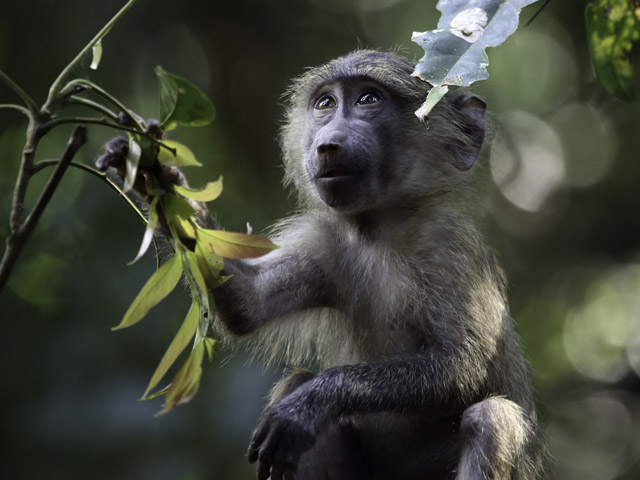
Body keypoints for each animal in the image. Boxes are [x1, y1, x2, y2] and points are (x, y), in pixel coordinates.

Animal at [97, 49, 547, 479]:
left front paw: (312, 403)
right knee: (298, 391)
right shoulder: (325, 245)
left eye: (369, 99)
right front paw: (151, 174)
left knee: (491, 418)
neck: (378, 230)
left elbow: (462, 366)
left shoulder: (448, 245)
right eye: (325, 103)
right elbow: (247, 306)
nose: (328, 144)